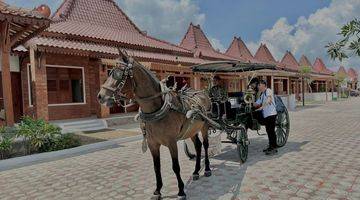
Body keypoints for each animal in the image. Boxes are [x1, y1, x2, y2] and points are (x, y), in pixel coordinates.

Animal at [97, 50, 212, 199]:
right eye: (110, 72)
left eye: (117, 73)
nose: (100, 96)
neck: (157, 109)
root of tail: (202, 92)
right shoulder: (152, 143)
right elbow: (156, 167)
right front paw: (158, 190)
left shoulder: (172, 142)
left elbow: (176, 166)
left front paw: (181, 190)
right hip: (191, 130)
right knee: (198, 146)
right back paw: (196, 171)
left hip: (204, 126)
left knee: (205, 145)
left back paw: (207, 169)